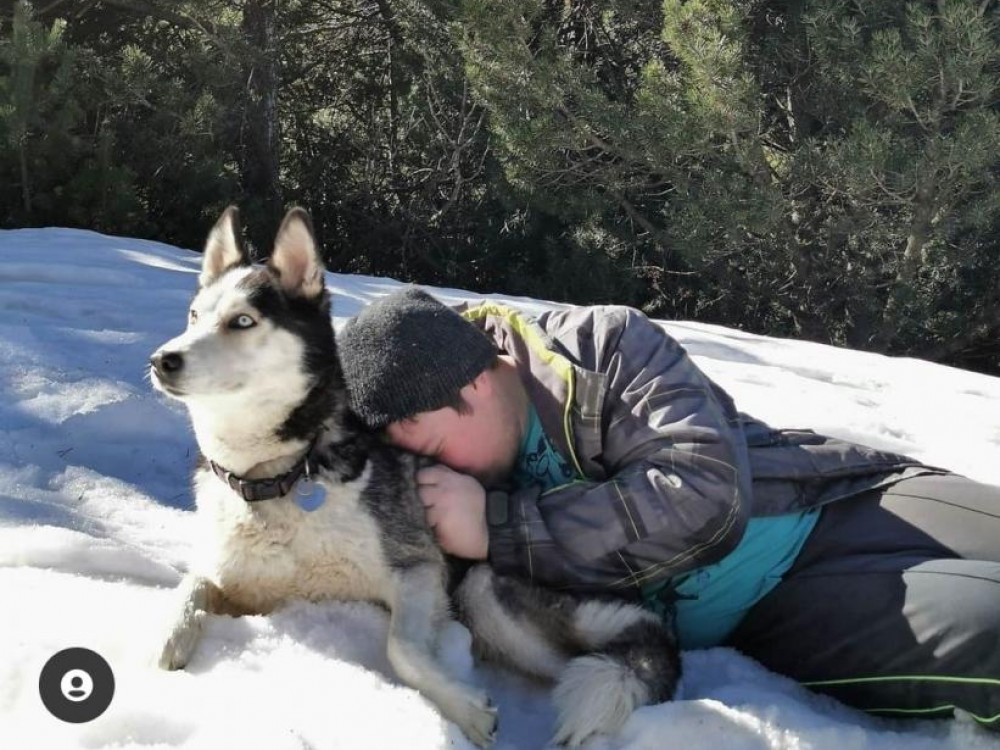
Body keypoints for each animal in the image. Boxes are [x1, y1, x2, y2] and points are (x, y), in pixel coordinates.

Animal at [149, 206, 681, 747]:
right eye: (194, 316)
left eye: (243, 320)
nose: (162, 360)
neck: (280, 477)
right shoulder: (240, 586)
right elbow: (191, 587)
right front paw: (169, 639)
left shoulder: (418, 571)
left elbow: (401, 648)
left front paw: (466, 709)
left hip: (483, 592)